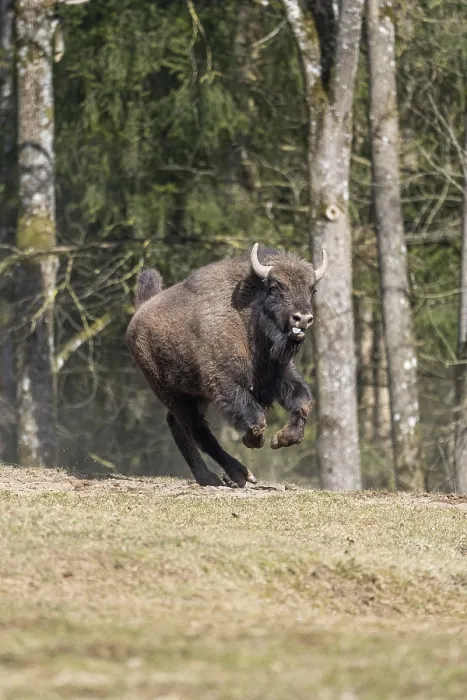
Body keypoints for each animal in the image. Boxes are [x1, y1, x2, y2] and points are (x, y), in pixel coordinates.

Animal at [126, 243, 327, 487]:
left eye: (312, 290)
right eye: (274, 287)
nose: (303, 318)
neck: (246, 318)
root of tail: (140, 311)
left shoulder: (280, 375)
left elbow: (303, 401)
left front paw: (282, 439)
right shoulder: (226, 384)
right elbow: (256, 419)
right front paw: (253, 441)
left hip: (191, 396)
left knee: (178, 425)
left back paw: (208, 476)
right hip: (172, 393)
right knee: (197, 430)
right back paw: (239, 474)